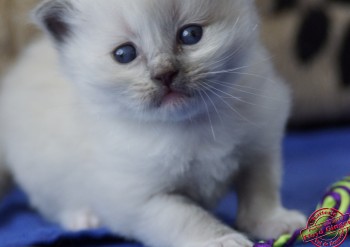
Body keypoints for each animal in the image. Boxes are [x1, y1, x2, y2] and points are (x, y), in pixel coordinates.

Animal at [0, 0, 306, 247]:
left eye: (191, 35)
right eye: (124, 54)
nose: (164, 74)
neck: (192, 124)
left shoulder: (259, 150)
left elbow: (261, 195)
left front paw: (275, 222)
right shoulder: (143, 199)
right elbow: (191, 218)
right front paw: (222, 240)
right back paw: (84, 219)